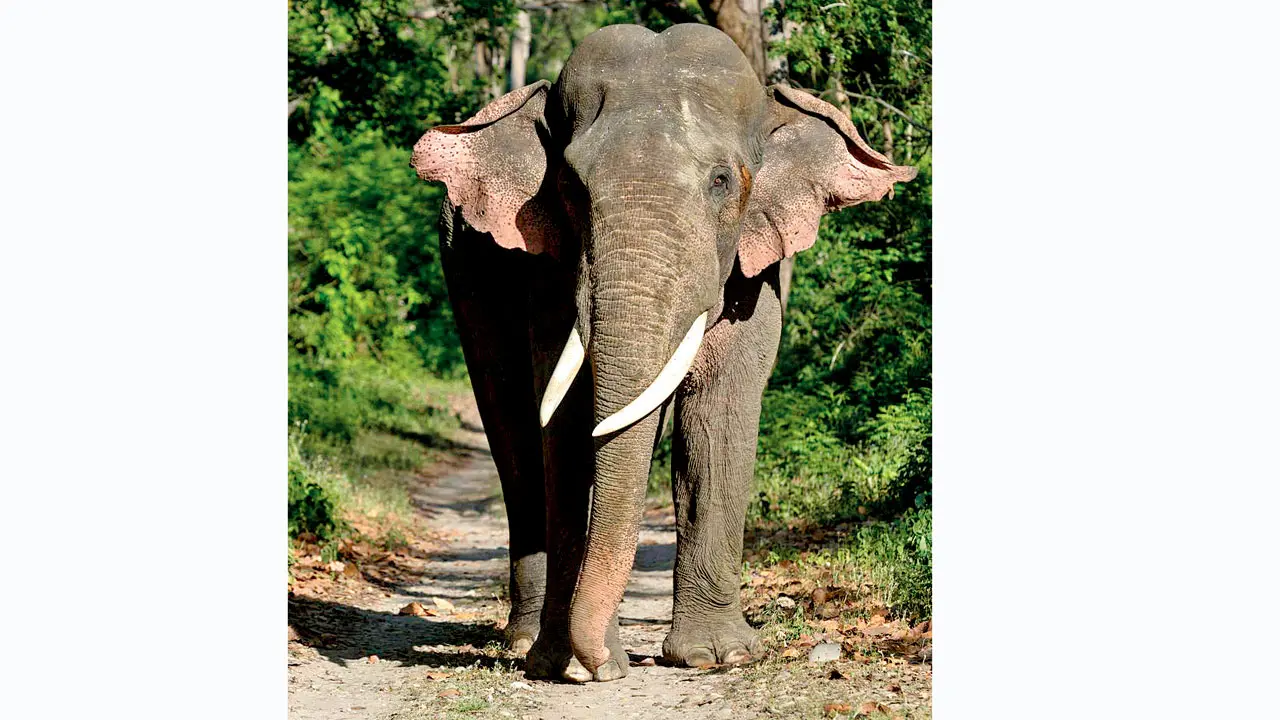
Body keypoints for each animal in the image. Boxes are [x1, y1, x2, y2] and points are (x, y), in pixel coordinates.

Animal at [410, 23, 915, 683]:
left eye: (722, 181)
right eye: (569, 187)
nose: (600, 664)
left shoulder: (755, 272)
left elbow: (719, 412)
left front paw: (716, 658)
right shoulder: (550, 267)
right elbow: (565, 420)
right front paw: (564, 665)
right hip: (464, 268)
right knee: (512, 432)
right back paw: (522, 644)